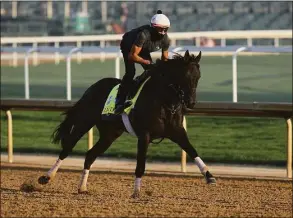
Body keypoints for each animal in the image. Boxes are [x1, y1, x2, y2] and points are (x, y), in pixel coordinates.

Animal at [38, 50, 214, 197]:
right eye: (185, 76)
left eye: (198, 77)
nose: (191, 102)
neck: (163, 101)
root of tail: (93, 87)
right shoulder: (144, 135)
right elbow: (140, 164)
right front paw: (136, 192)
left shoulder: (177, 131)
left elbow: (192, 150)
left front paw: (209, 175)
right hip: (84, 121)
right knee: (67, 148)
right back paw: (46, 177)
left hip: (110, 134)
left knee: (90, 155)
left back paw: (82, 187)